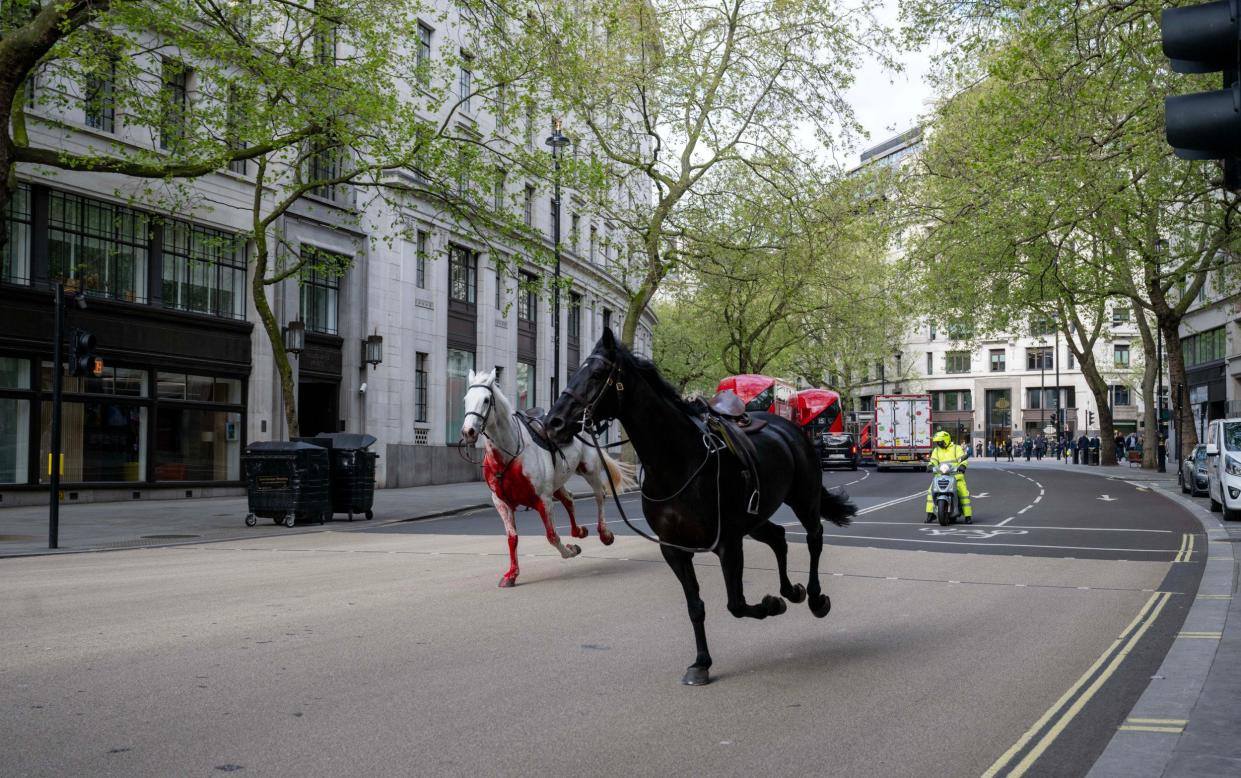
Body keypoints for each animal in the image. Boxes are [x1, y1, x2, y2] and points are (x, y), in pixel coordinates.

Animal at [461, 367, 635, 588]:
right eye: (466, 399)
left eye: (485, 400)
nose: (468, 432)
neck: (510, 453)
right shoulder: (502, 503)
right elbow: (512, 538)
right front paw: (511, 575)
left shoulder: (543, 500)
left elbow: (552, 536)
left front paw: (570, 551)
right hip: (557, 482)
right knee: (569, 499)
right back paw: (579, 531)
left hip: (589, 469)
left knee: (599, 495)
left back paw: (604, 533)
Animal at [548, 332, 858, 684]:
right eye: (577, 370)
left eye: (597, 374)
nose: (553, 422)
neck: (675, 463)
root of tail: (788, 428)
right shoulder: (674, 548)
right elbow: (695, 606)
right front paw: (701, 662)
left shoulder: (727, 542)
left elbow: (736, 603)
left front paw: (771, 605)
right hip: (755, 519)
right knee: (779, 537)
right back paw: (792, 591)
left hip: (803, 499)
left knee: (814, 538)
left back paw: (815, 597)